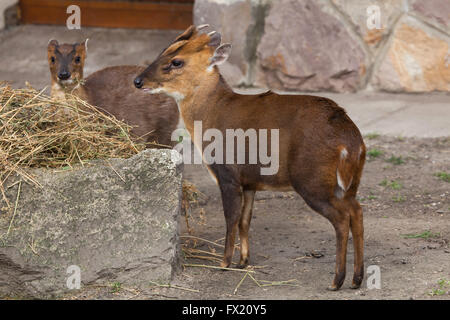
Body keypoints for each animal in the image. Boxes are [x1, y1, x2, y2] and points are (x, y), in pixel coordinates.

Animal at [133, 25, 366, 290]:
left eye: (176, 61)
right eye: (163, 51)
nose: (138, 81)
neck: (212, 113)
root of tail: (350, 140)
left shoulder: (228, 173)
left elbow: (231, 218)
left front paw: (224, 263)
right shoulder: (251, 182)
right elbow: (245, 220)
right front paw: (243, 261)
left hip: (312, 180)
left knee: (342, 219)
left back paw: (337, 281)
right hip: (348, 184)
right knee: (357, 211)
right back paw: (357, 279)